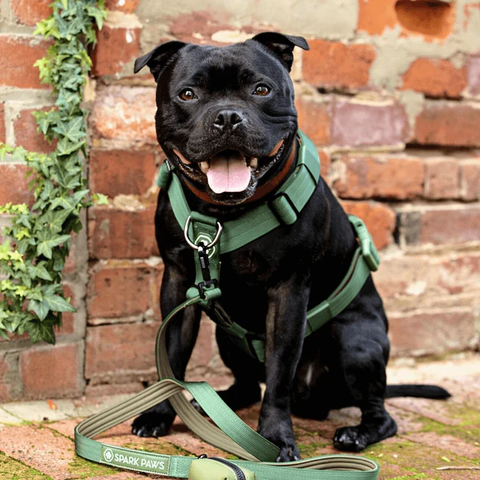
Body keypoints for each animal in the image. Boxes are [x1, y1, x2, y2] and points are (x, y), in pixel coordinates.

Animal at [128, 32, 450, 462]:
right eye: (188, 94)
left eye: (261, 89)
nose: (227, 116)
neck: (225, 213)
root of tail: (315, 402)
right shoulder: (179, 285)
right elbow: (170, 358)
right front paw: (160, 413)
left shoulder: (288, 293)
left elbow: (279, 374)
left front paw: (276, 438)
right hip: (229, 339)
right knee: (248, 384)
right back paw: (214, 406)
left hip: (356, 344)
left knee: (380, 414)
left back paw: (357, 434)